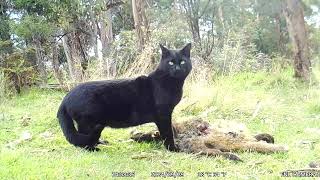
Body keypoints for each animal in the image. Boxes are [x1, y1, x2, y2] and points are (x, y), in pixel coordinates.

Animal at [57, 43, 192, 151]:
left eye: (182, 61)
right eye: (171, 62)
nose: (177, 68)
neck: (172, 83)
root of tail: (65, 98)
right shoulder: (163, 114)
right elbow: (168, 133)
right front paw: (173, 149)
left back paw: (100, 142)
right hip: (87, 122)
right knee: (82, 140)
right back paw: (92, 149)